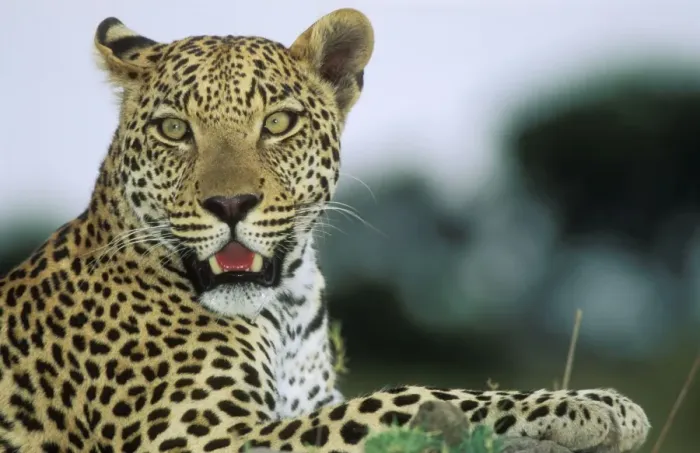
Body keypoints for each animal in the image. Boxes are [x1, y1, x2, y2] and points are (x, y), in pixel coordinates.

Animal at [0, 8, 650, 453]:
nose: (230, 203)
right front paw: (590, 407)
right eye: (174, 129)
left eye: (278, 123)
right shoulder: (198, 436)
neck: (286, 306)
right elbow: (405, 399)